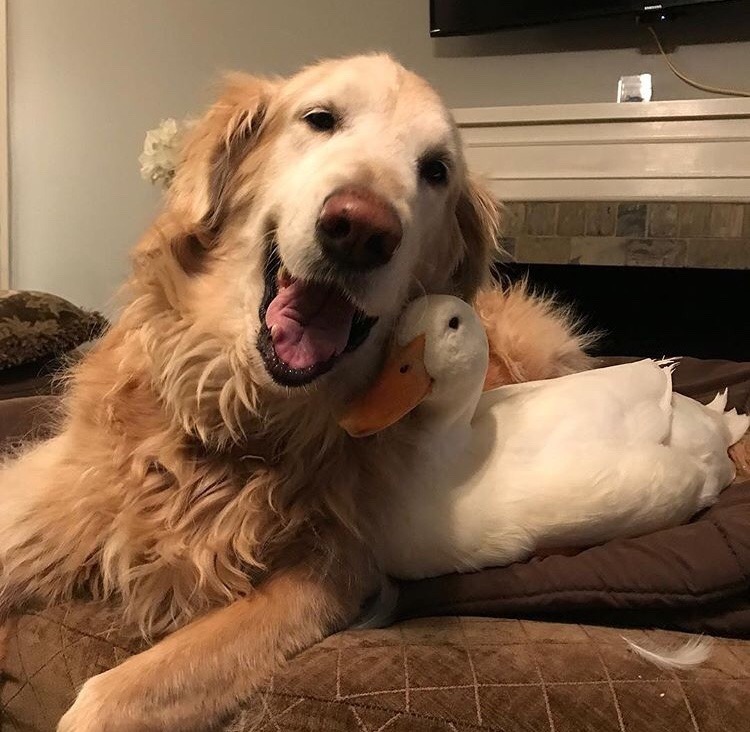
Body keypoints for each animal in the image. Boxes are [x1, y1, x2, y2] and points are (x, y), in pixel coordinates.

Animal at [0, 55, 588, 731]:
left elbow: (114, 695)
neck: (240, 423)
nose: (360, 229)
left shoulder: (331, 573)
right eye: (319, 118)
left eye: (437, 170)